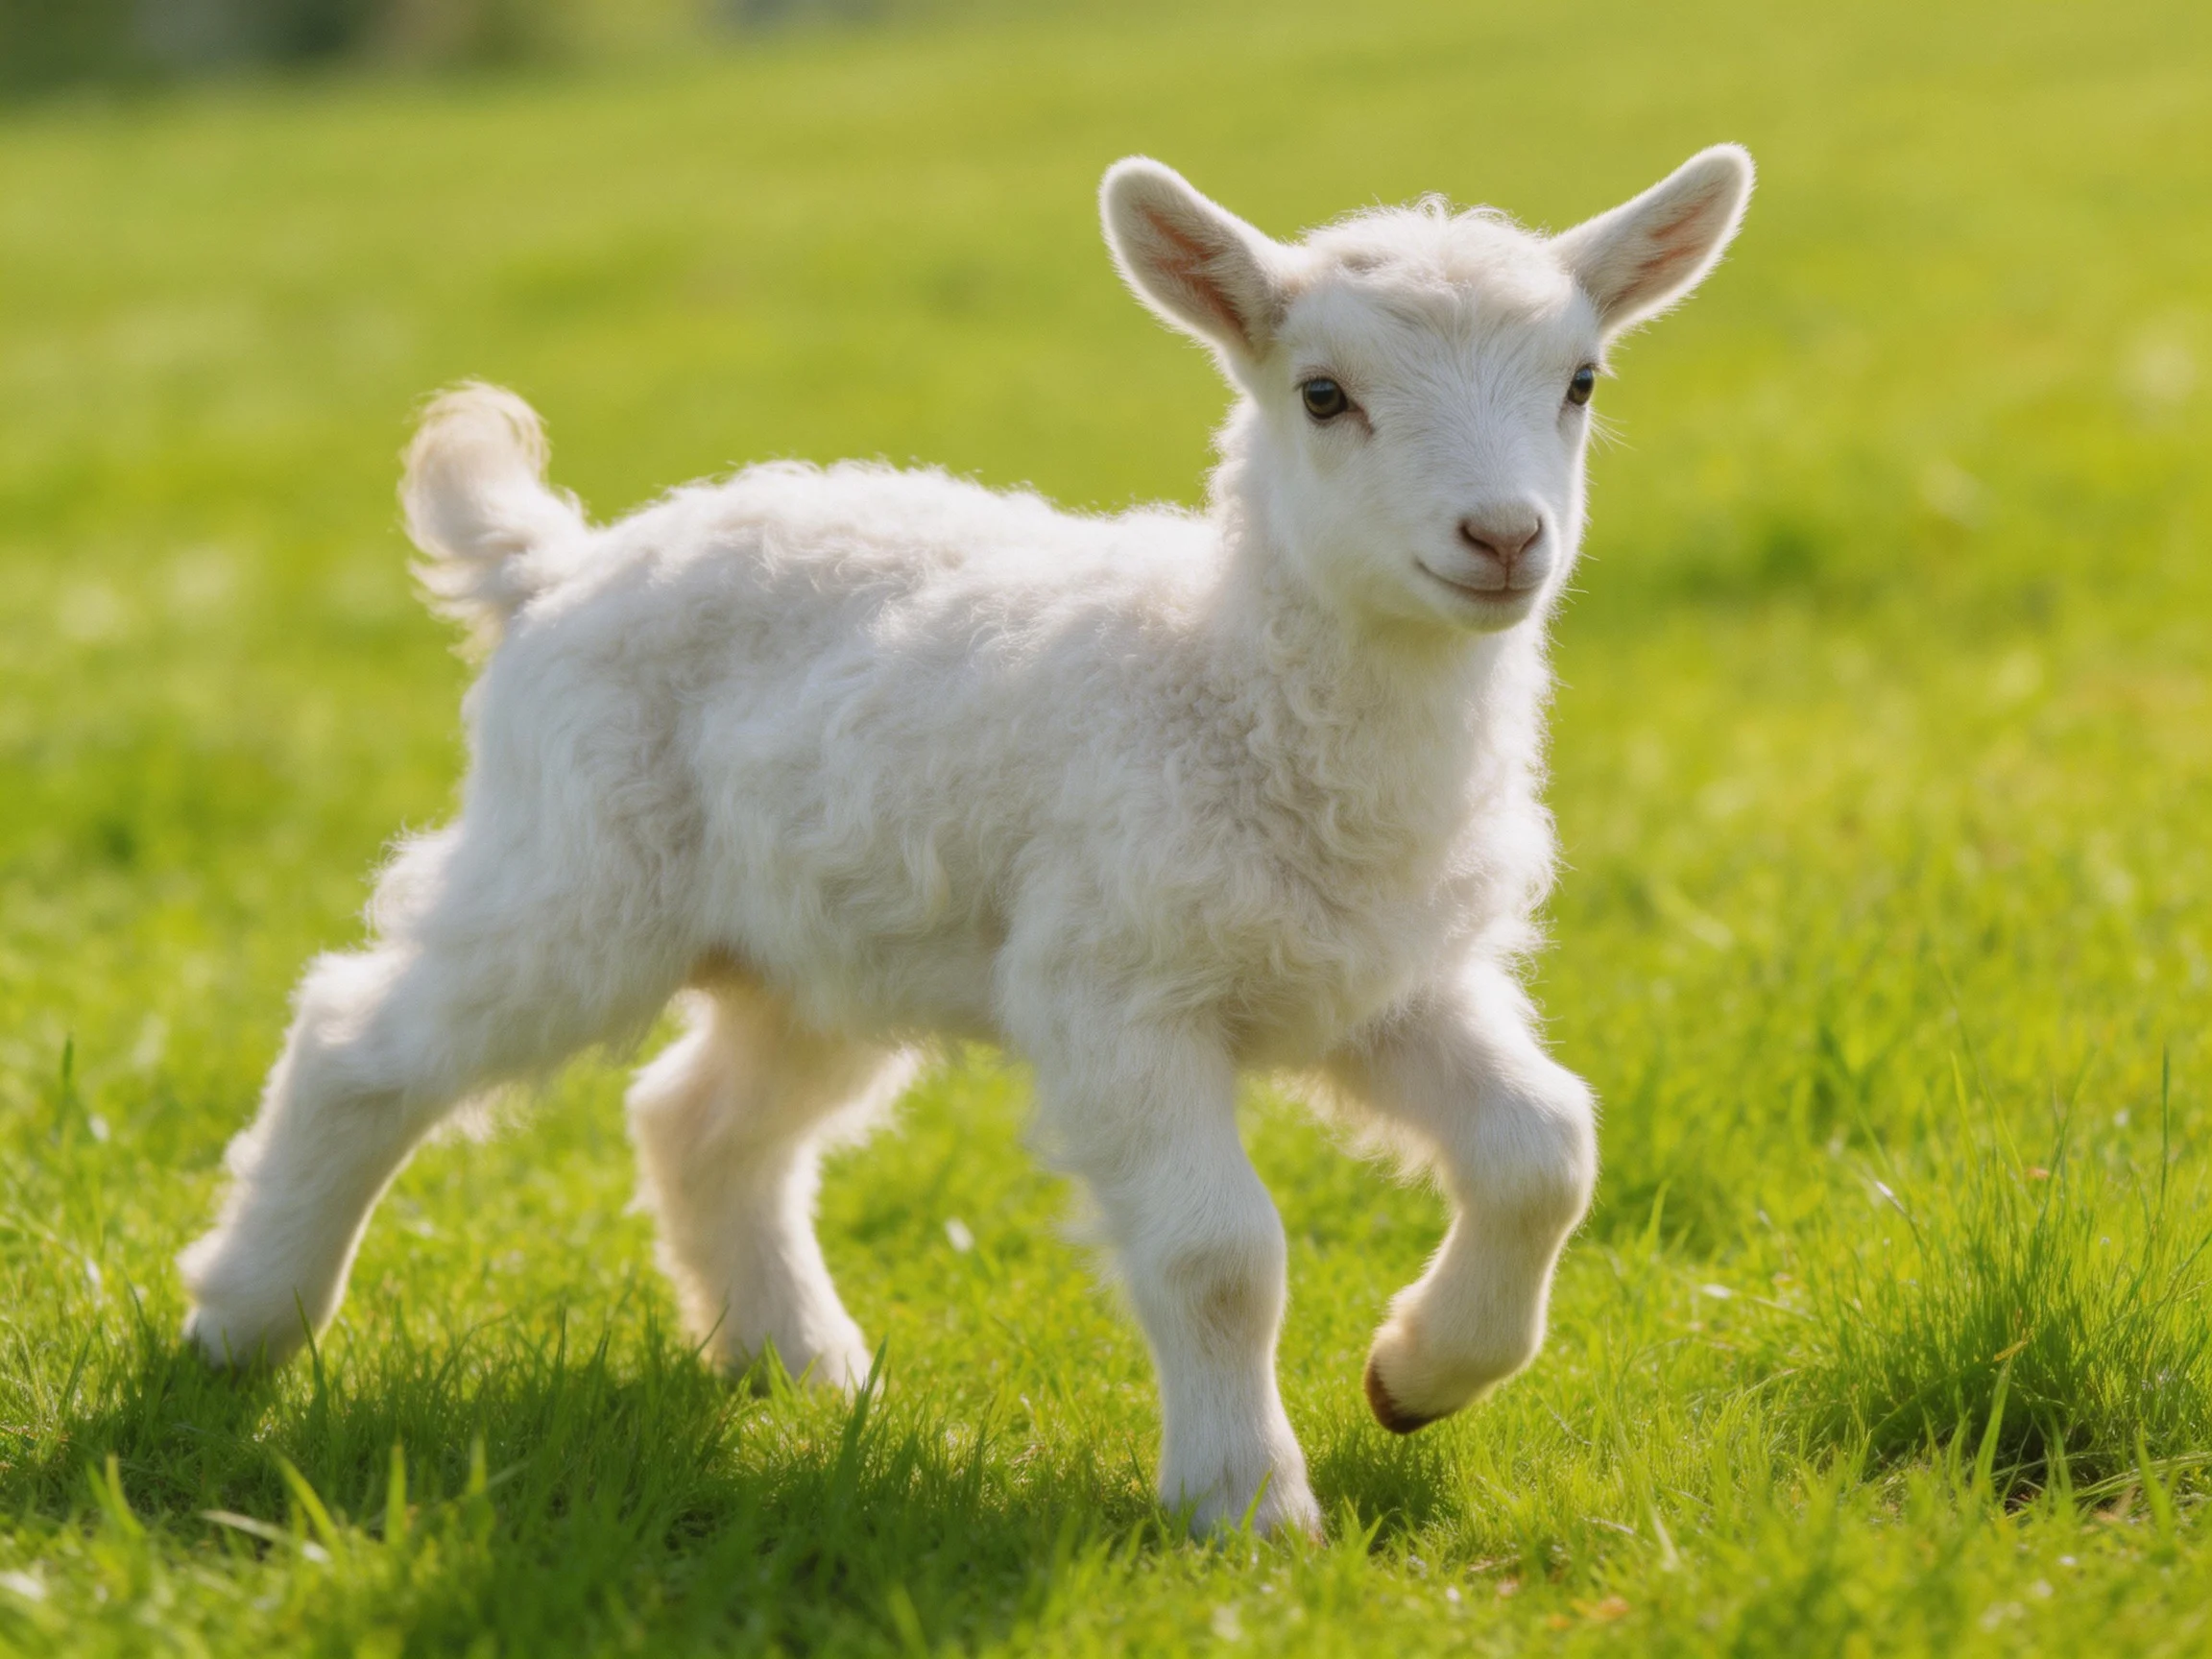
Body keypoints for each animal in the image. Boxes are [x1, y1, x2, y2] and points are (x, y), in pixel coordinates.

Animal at [179, 146, 1754, 1536]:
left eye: (1580, 382)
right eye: (1324, 394)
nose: (1504, 538)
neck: (1230, 684)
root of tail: (555, 562)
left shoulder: (1380, 977)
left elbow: (1546, 1148)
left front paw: (1420, 1376)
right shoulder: (1114, 986)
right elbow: (1219, 1254)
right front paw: (1246, 1508)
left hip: (816, 947)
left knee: (700, 1119)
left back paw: (797, 1366)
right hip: (575, 868)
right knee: (361, 1038)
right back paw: (242, 1323)